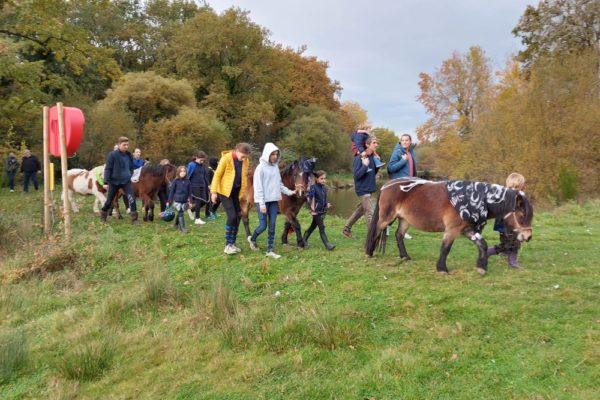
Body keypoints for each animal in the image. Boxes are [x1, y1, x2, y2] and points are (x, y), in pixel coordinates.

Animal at [364, 178, 532, 276]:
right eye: (522, 214)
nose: (528, 236)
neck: (474, 198)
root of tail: (386, 185)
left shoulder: (467, 229)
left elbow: (482, 245)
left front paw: (482, 267)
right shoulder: (452, 230)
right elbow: (445, 248)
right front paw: (442, 269)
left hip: (405, 220)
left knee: (398, 235)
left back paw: (405, 256)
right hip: (386, 217)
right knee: (376, 231)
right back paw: (369, 252)